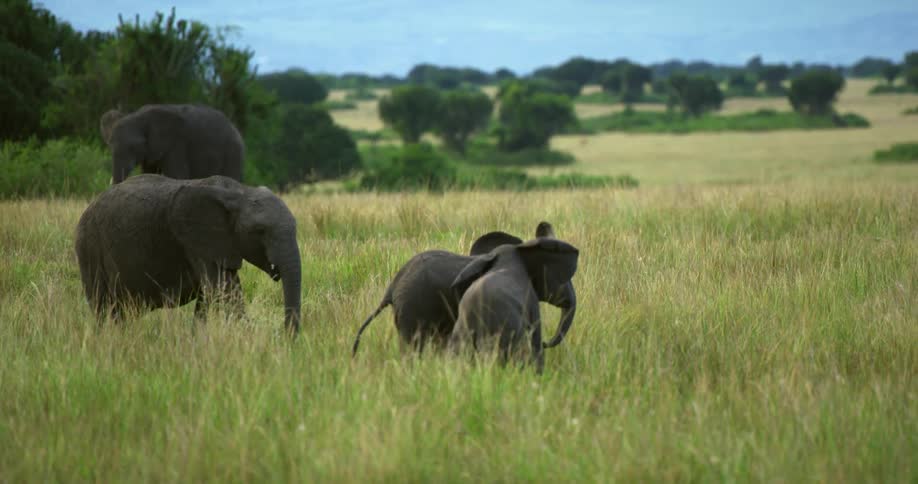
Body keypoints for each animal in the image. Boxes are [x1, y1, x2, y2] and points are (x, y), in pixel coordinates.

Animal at [75, 174, 301, 333]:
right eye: (260, 231)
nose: (286, 337)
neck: (239, 192)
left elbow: (211, 293)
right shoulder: (195, 238)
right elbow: (223, 288)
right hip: (89, 248)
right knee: (102, 306)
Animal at [100, 104, 244, 184]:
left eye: (134, 147)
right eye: (110, 146)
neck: (139, 115)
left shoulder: (176, 144)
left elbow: (177, 176)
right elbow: (149, 172)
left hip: (233, 152)